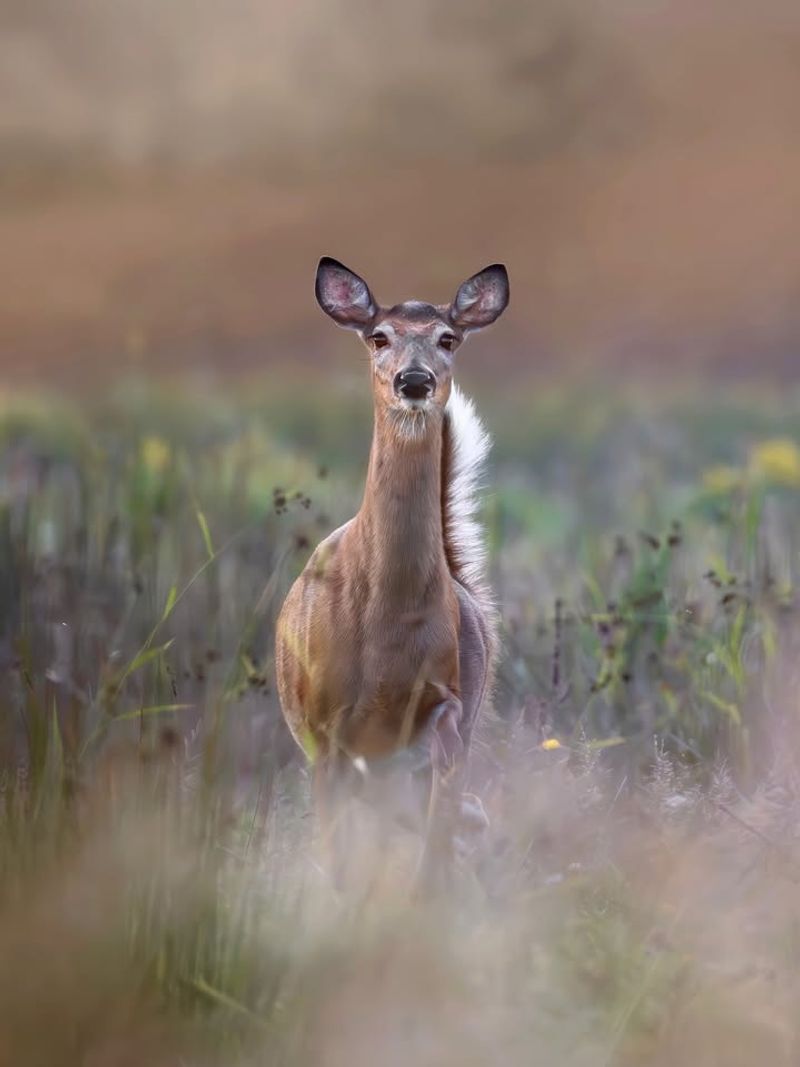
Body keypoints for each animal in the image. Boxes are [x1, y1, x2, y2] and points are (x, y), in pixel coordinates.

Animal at [275, 257, 509, 885]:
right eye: (378, 336)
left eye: (447, 337)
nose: (415, 381)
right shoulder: (325, 727)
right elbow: (336, 861)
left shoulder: (445, 704)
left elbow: (434, 845)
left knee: (462, 823)